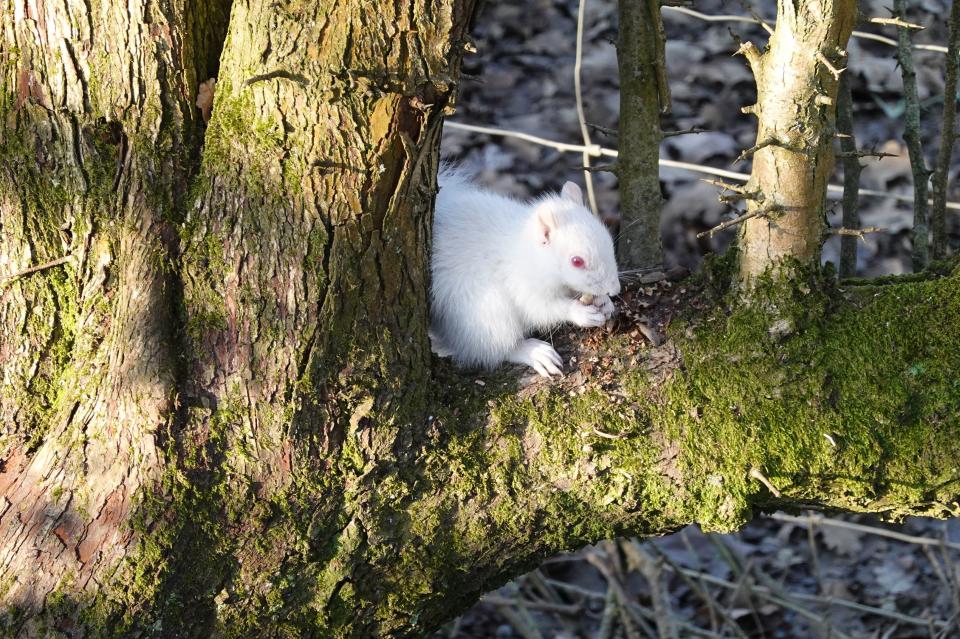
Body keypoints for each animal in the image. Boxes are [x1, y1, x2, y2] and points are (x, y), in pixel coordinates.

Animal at [430, 170, 624, 380]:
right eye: (576, 261)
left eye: (608, 239)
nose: (615, 289)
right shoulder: (521, 283)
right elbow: (540, 308)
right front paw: (580, 312)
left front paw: (604, 301)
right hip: (486, 312)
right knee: (493, 349)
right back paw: (533, 352)